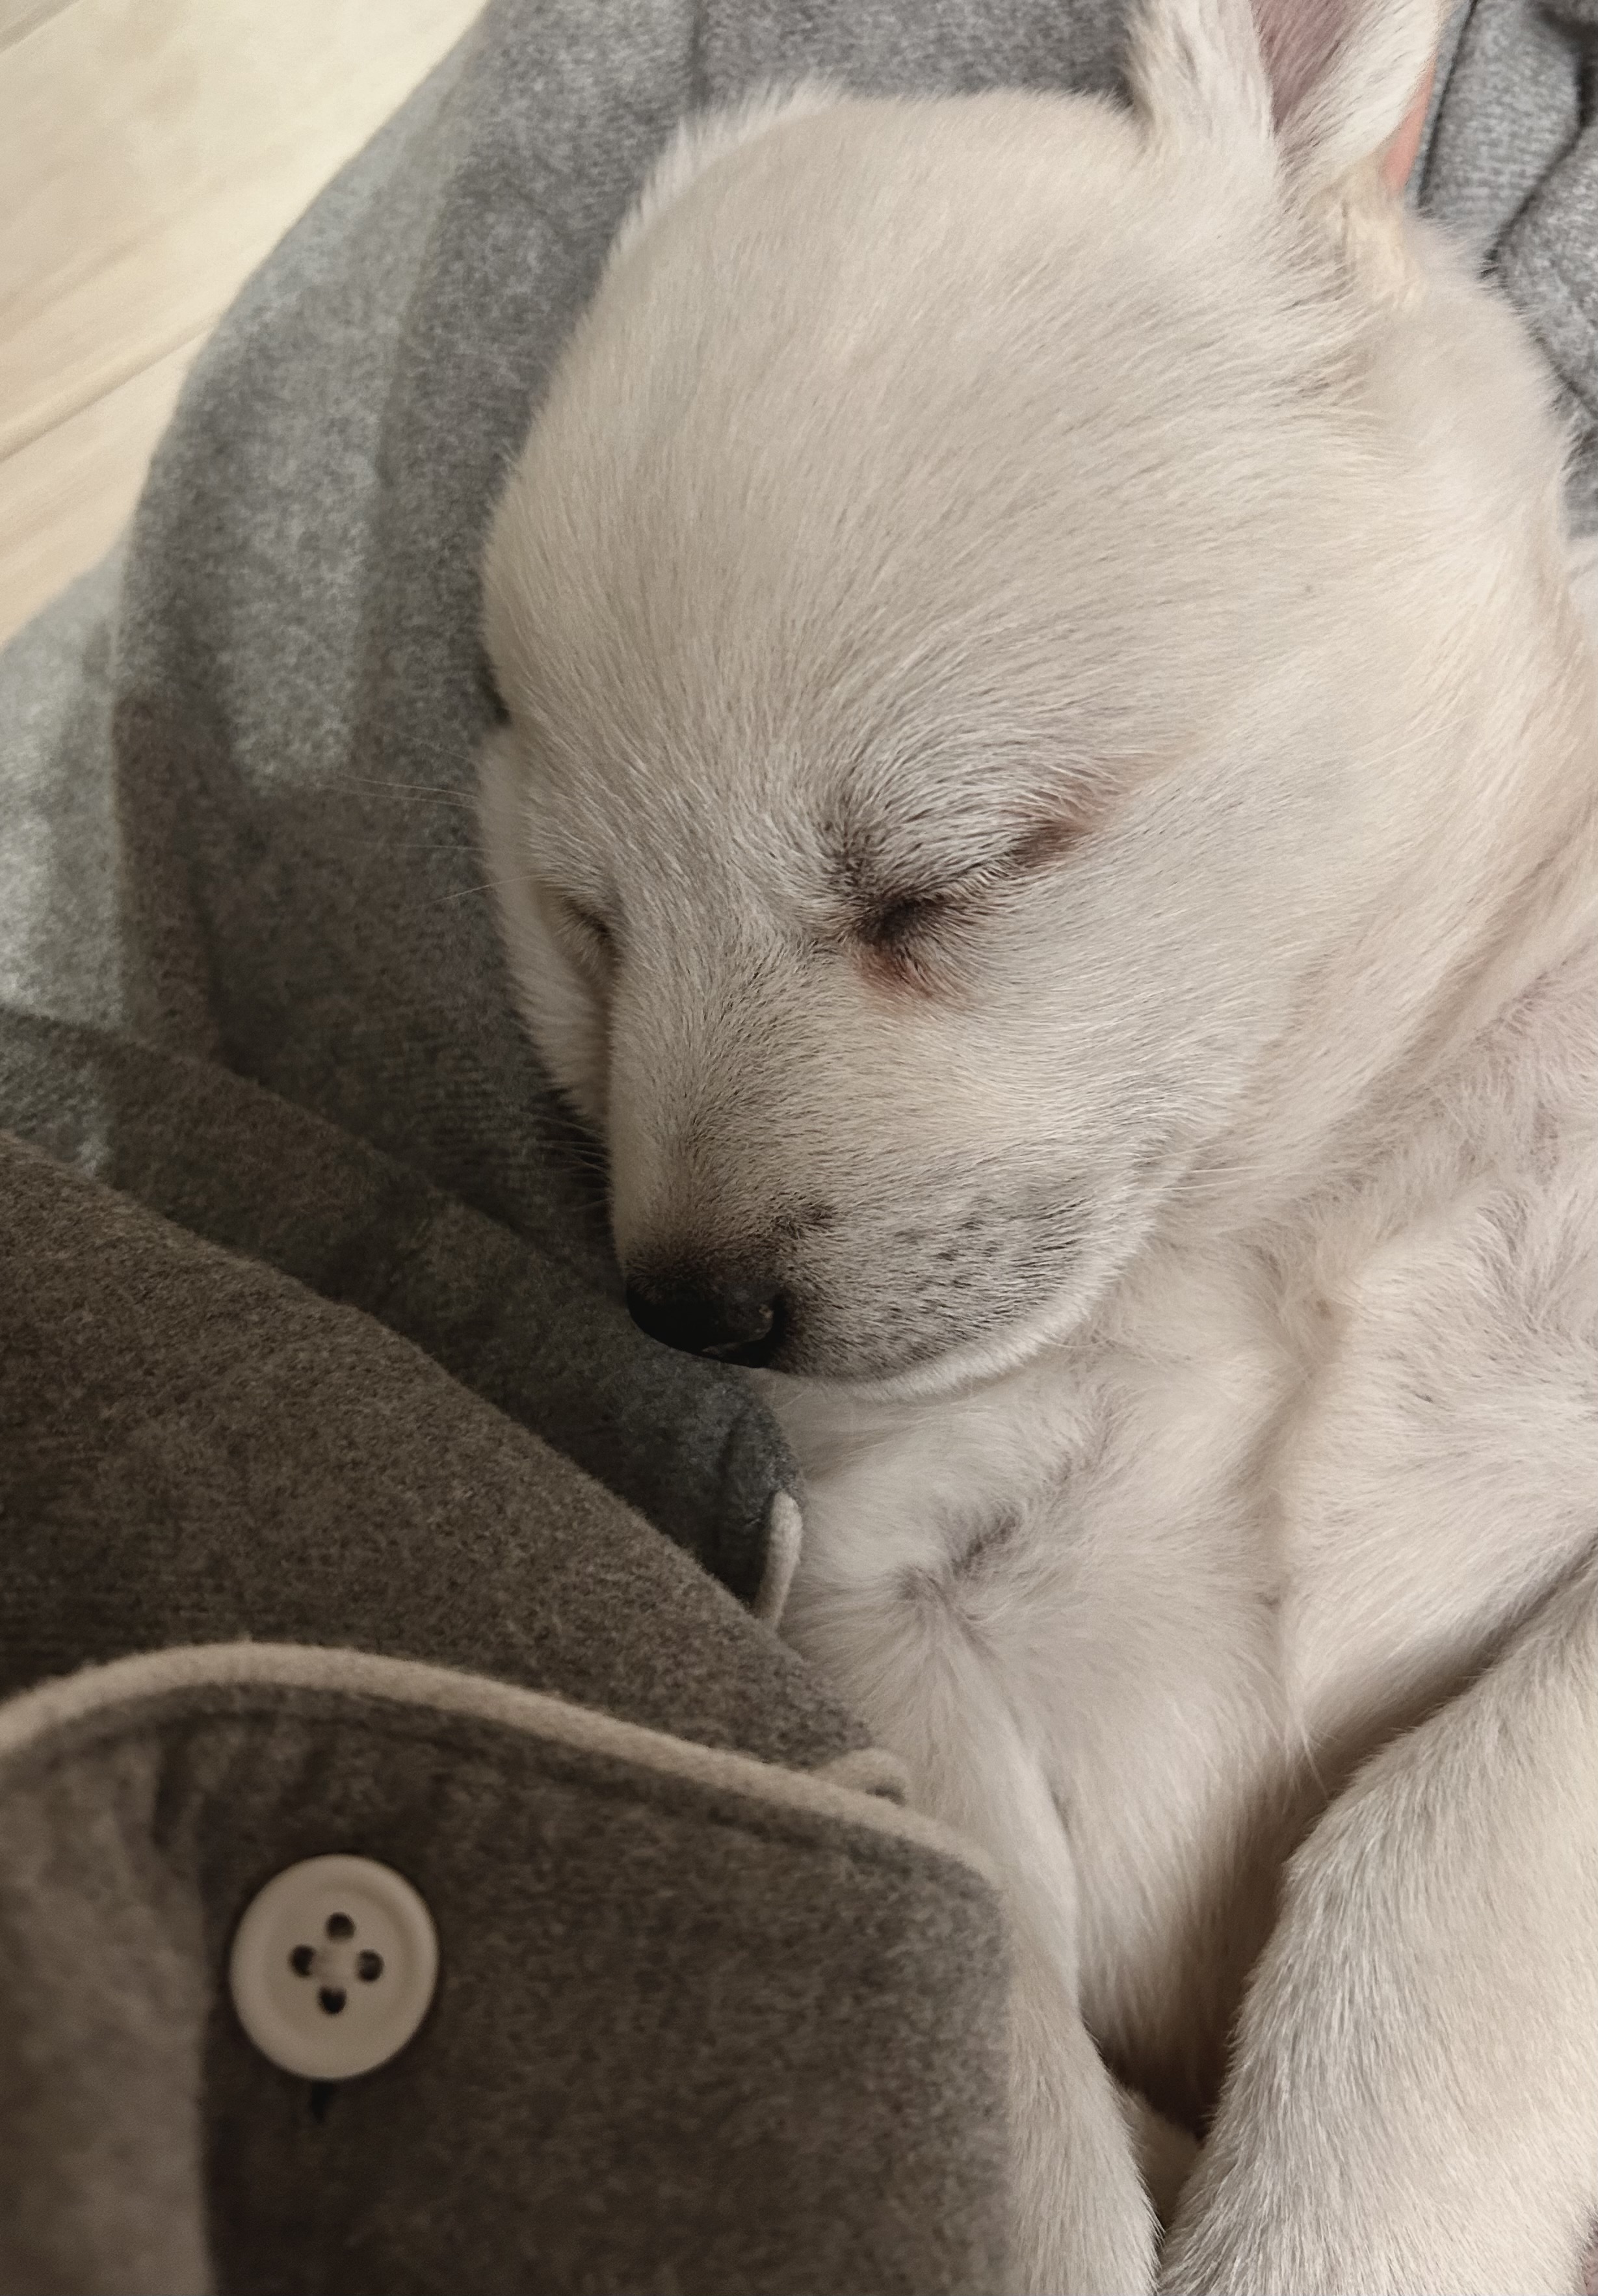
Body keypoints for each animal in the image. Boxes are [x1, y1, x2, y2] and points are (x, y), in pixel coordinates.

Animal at [477, 2, 1598, 2286]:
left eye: (953, 876)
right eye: (586, 925)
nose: (686, 1304)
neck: (1280, 1222)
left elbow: (1454, 1813)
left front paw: (1337, 2219)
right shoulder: (870, 1596)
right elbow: (965, 1943)